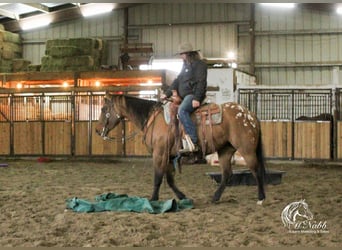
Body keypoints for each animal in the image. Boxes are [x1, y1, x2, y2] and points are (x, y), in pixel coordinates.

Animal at [95, 93, 266, 203]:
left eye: (104, 110)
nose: (97, 130)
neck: (152, 119)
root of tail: (250, 114)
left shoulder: (159, 154)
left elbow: (158, 177)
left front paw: (153, 199)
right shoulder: (169, 157)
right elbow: (170, 179)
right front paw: (182, 196)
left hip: (247, 150)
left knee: (256, 170)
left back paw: (261, 197)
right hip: (225, 150)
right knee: (227, 174)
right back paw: (215, 197)